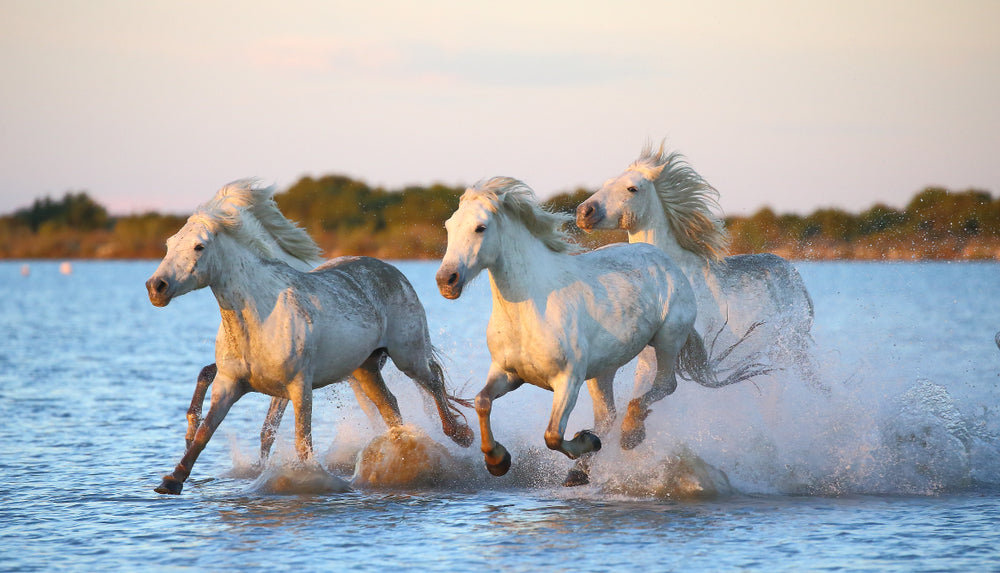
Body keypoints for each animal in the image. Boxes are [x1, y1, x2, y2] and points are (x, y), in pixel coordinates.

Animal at [146, 180, 474, 492]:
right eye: (169, 243)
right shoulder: (229, 384)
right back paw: (402, 455)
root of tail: (393, 270)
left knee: (432, 381)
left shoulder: (298, 386)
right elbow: (206, 431)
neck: (259, 319)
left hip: (408, 355)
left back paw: (461, 436)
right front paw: (172, 480)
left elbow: (300, 441)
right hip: (365, 368)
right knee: (390, 406)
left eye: (199, 247)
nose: (156, 287)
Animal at [438, 177, 756, 480]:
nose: (446, 281)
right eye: (449, 226)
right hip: (603, 370)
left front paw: (586, 441)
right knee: (607, 417)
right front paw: (497, 461)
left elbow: (552, 435)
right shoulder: (508, 373)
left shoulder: (568, 380)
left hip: (666, 341)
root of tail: (666, 260)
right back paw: (579, 472)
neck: (531, 308)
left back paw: (630, 435)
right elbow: (481, 402)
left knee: (663, 386)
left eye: (481, 228)